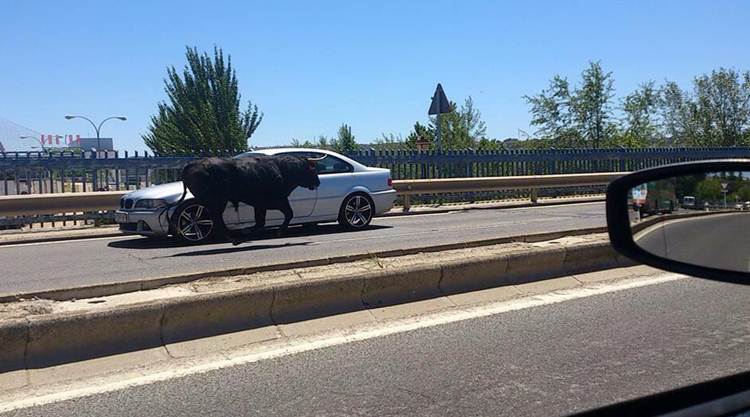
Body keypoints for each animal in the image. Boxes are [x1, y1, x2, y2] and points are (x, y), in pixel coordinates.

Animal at [173, 155, 324, 240]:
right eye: (313, 169)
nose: (318, 182)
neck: (283, 169)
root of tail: (190, 165)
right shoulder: (277, 200)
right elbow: (288, 213)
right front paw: (279, 231)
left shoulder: (260, 204)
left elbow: (260, 221)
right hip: (217, 201)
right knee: (216, 217)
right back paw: (230, 236)